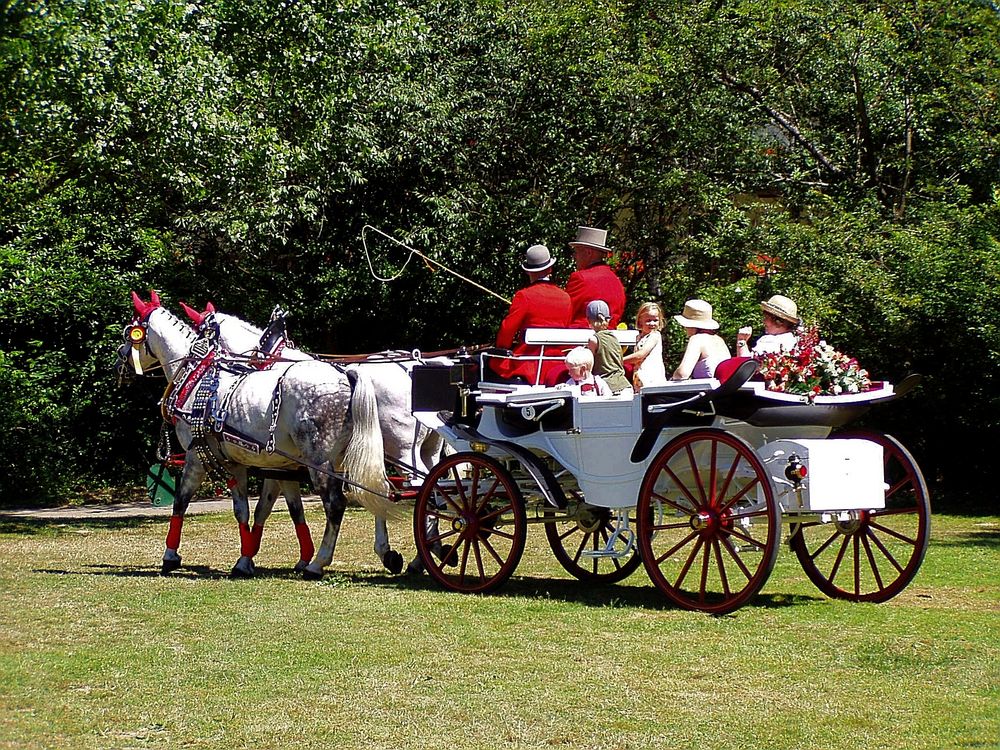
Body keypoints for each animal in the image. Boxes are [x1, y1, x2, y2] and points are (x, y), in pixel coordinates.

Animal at [117, 294, 394, 580]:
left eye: (129, 333)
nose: (118, 361)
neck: (198, 380)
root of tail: (345, 376)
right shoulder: (257, 464)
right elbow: (261, 510)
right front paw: (247, 559)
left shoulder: (197, 457)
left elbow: (183, 503)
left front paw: (170, 557)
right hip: (354, 455)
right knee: (377, 488)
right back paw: (386, 553)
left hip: (320, 462)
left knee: (336, 504)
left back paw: (319, 563)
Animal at [180, 302, 446, 572]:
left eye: (201, 334)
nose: (194, 363)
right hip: (425, 450)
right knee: (432, 490)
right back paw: (429, 551)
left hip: (402, 452)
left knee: (421, 489)